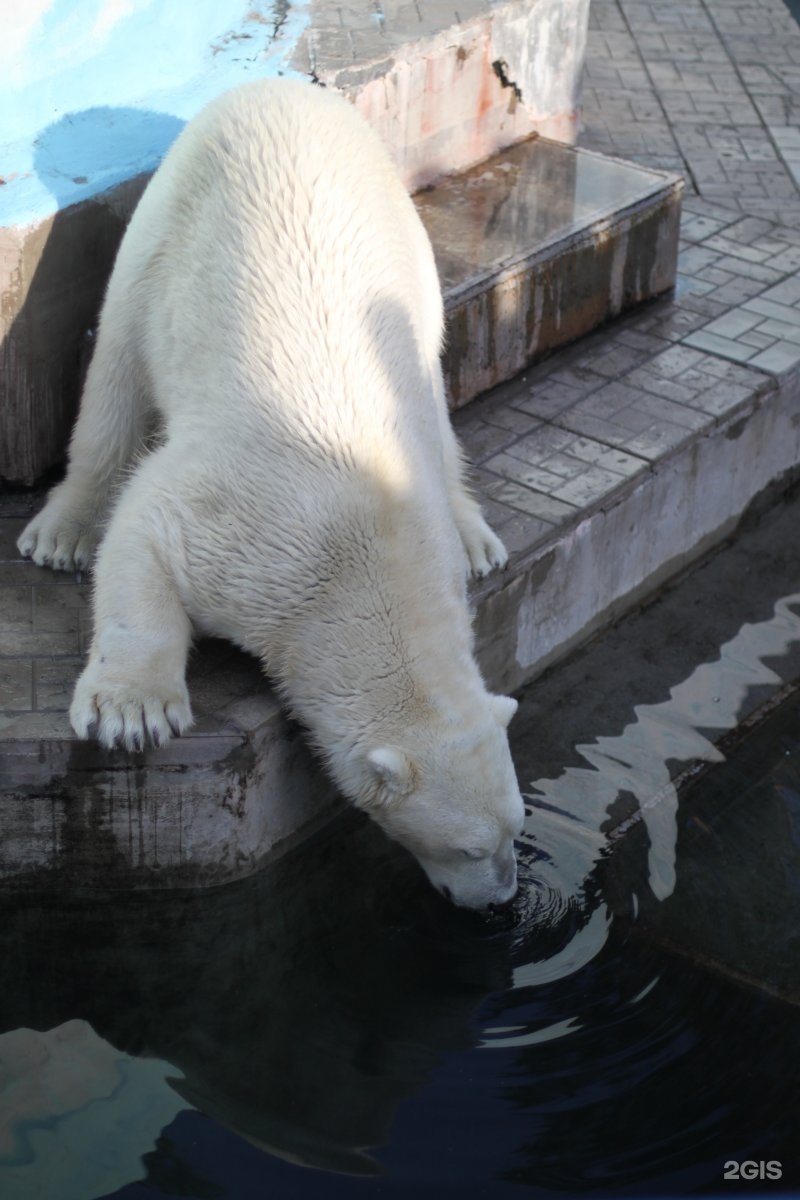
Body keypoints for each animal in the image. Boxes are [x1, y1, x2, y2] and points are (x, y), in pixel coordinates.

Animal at [18, 82, 525, 907]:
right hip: (168, 223)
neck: (370, 552)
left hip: (405, 249)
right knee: (115, 370)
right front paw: (134, 711)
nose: (503, 897)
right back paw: (61, 531)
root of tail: (281, 87)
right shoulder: (248, 525)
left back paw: (478, 538)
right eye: (470, 848)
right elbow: (145, 528)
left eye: (516, 831)